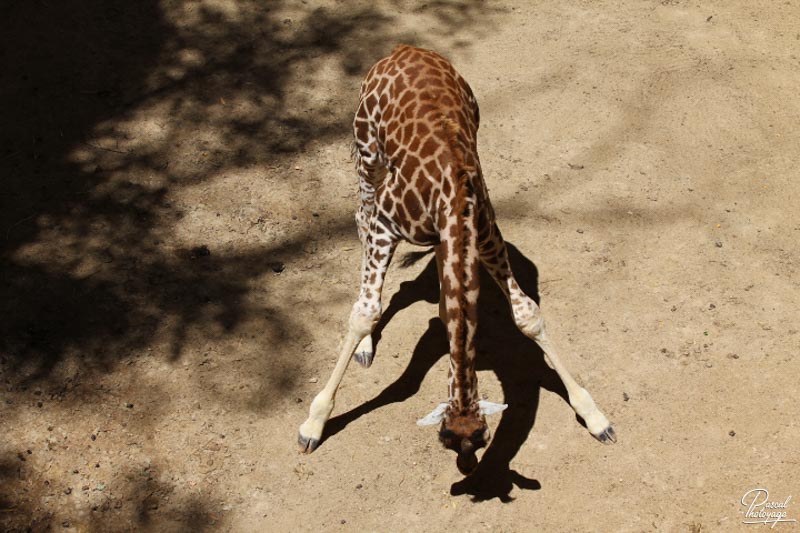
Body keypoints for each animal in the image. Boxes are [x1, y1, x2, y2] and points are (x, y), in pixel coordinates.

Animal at [296, 43, 616, 472]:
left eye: (479, 437)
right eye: (446, 439)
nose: (467, 466)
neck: (452, 194)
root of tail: (404, 48)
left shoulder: (486, 236)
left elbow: (527, 315)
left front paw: (595, 416)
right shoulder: (386, 224)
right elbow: (365, 312)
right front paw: (313, 423)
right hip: (367, 151)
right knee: (361, 219)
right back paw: (364, 346)